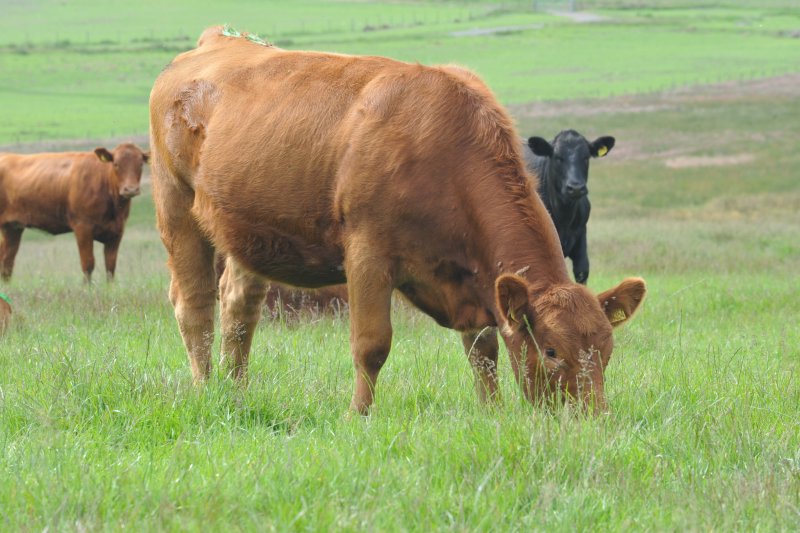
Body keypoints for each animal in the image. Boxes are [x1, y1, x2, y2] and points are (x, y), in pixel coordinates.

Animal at [0, 141, 148, 282]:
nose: (131, 189)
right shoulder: (83, 228)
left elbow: (110, 267)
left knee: (7, 260)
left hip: (13, 227)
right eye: (116, 164)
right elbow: (88, 264)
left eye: (141, 164)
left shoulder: (117, 231)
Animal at [520, 129, 616, 284]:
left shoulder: (581, 234)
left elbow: (582, 270)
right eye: (558, 157)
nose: (575, 188)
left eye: (586, 157)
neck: (564, 216)